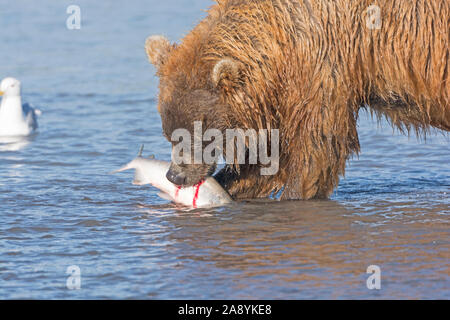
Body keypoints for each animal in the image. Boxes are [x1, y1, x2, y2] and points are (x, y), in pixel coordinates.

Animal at [146, 0, 448, 200]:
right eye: (169, 134)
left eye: (203, 135)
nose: (175, 175)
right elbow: (270, 158)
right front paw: (230, 182)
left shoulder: (324, 63)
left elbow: (316, 147)